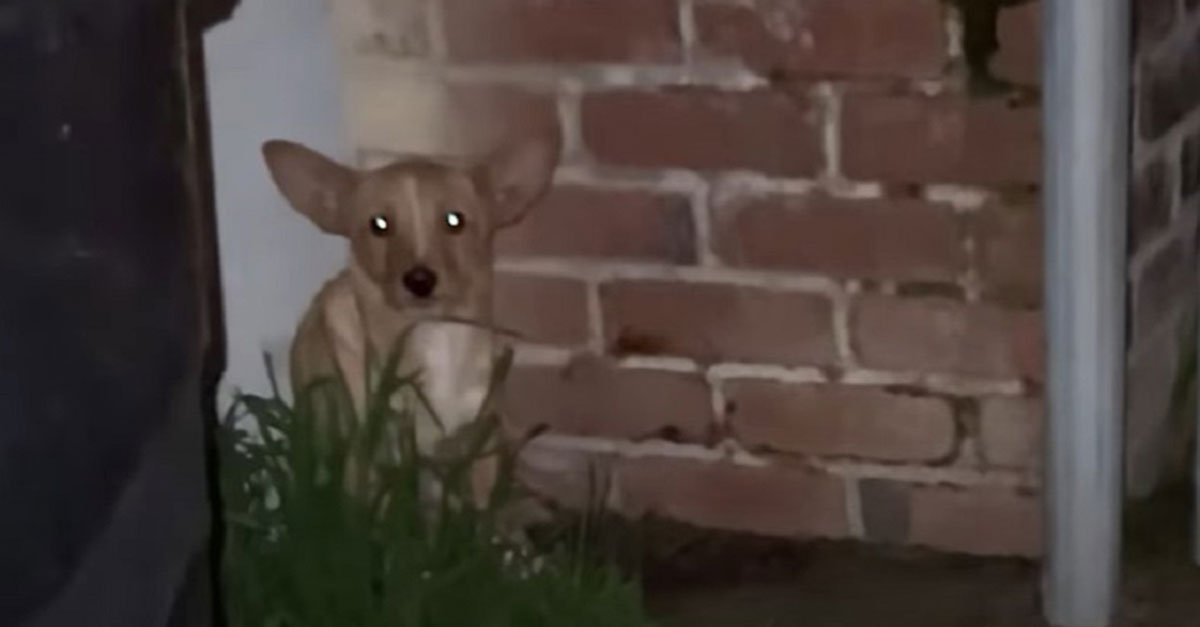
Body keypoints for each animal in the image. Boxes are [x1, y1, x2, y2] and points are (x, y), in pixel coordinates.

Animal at [260, 131, 559, 506]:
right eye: (379, 225)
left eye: (454, 220)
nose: (419, 280)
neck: (435, 333)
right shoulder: (372, 452)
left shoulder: (480, 442)